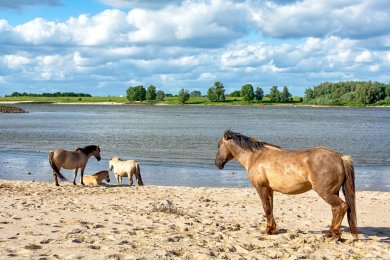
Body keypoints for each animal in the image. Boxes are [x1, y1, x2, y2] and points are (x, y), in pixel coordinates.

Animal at [215, 130, 358, 240]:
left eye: (218, 145)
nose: (217, 163)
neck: (255, 156)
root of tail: (340, 158)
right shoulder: (269, 189)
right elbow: (271, 208)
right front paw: (272, 229)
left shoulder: (261, 188)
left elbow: (266, 208)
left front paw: (267, 230)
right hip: (333, 192)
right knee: (336, 209)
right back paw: (331, 232)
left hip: (326, 192)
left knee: (342, 207)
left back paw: (333, 234)